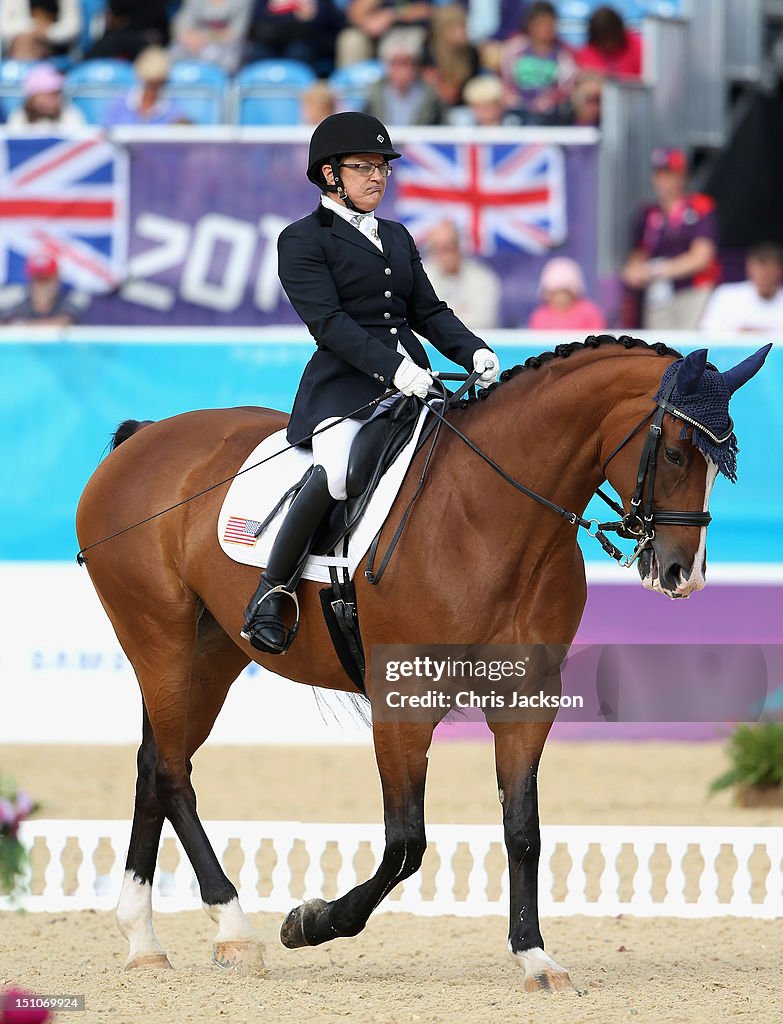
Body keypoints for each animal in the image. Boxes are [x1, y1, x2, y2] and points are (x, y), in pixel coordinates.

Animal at [74, 335, 769, 991]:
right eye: (676, 452)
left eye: (724, 461)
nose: (683, 575)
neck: (488, 516)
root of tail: (143, 439)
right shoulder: (402, 705)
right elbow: (407, 842)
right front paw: (311, 922)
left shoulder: (526, 701)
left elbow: (523, 828)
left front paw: (535, 957)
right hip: (159, 638)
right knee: (172, 774)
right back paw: (236, 930)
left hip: (208, 653)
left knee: (154, 766)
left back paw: (143, 940)